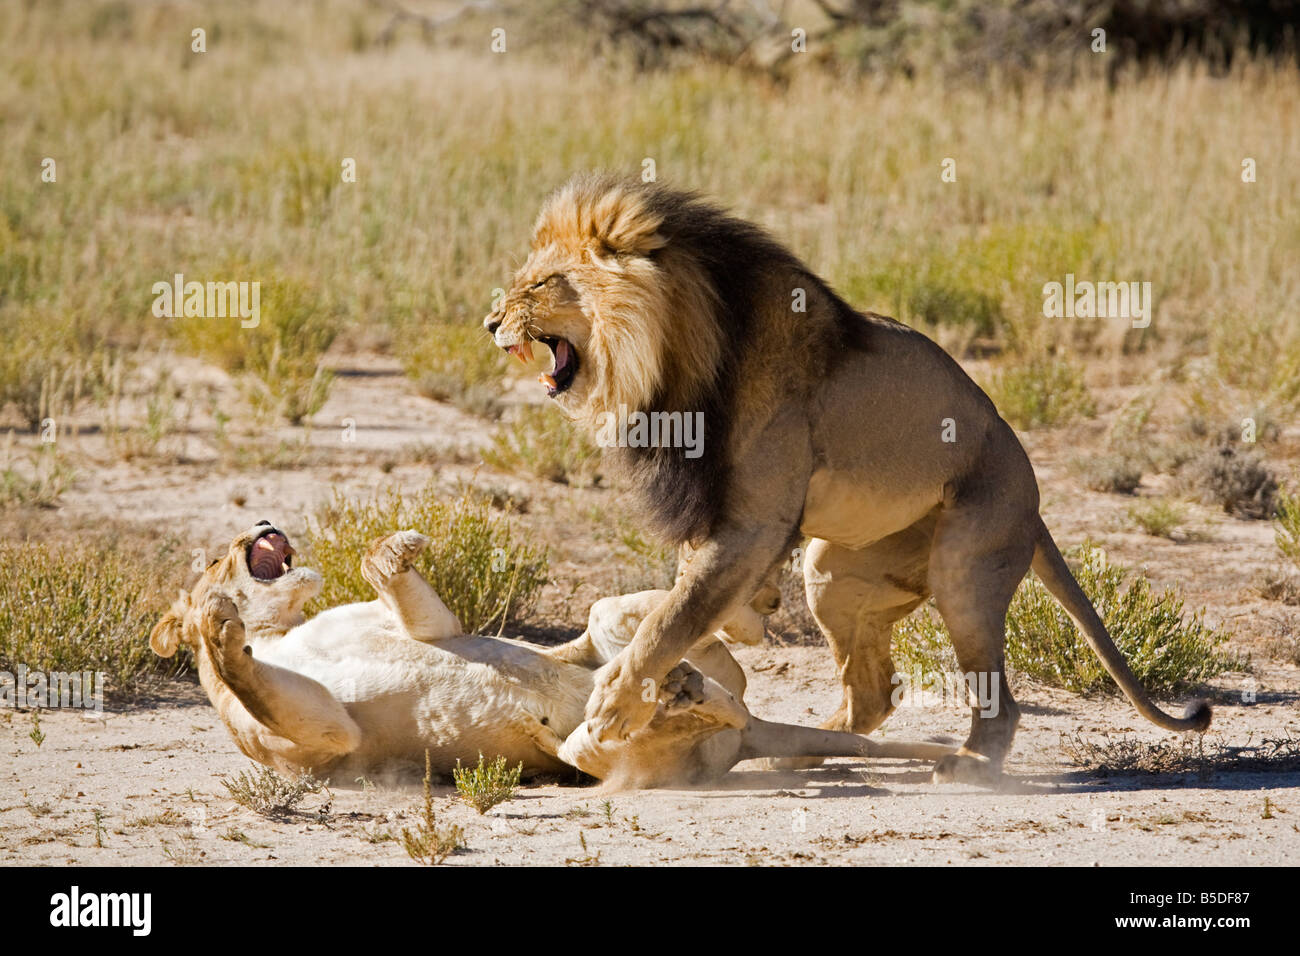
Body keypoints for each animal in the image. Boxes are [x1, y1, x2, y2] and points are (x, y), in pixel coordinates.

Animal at [486, 174, 1206, 785]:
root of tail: (1035, 506)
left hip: (967, 564)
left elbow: (671, 617)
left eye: (542, 284)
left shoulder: (754, 523)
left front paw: (615, 704)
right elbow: (687, 598)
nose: (491, 323)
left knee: (996, 698)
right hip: (830, 568)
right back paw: (811, 747)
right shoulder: (717, 515)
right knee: (873, 692)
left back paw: (970, 764)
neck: (676, 355)